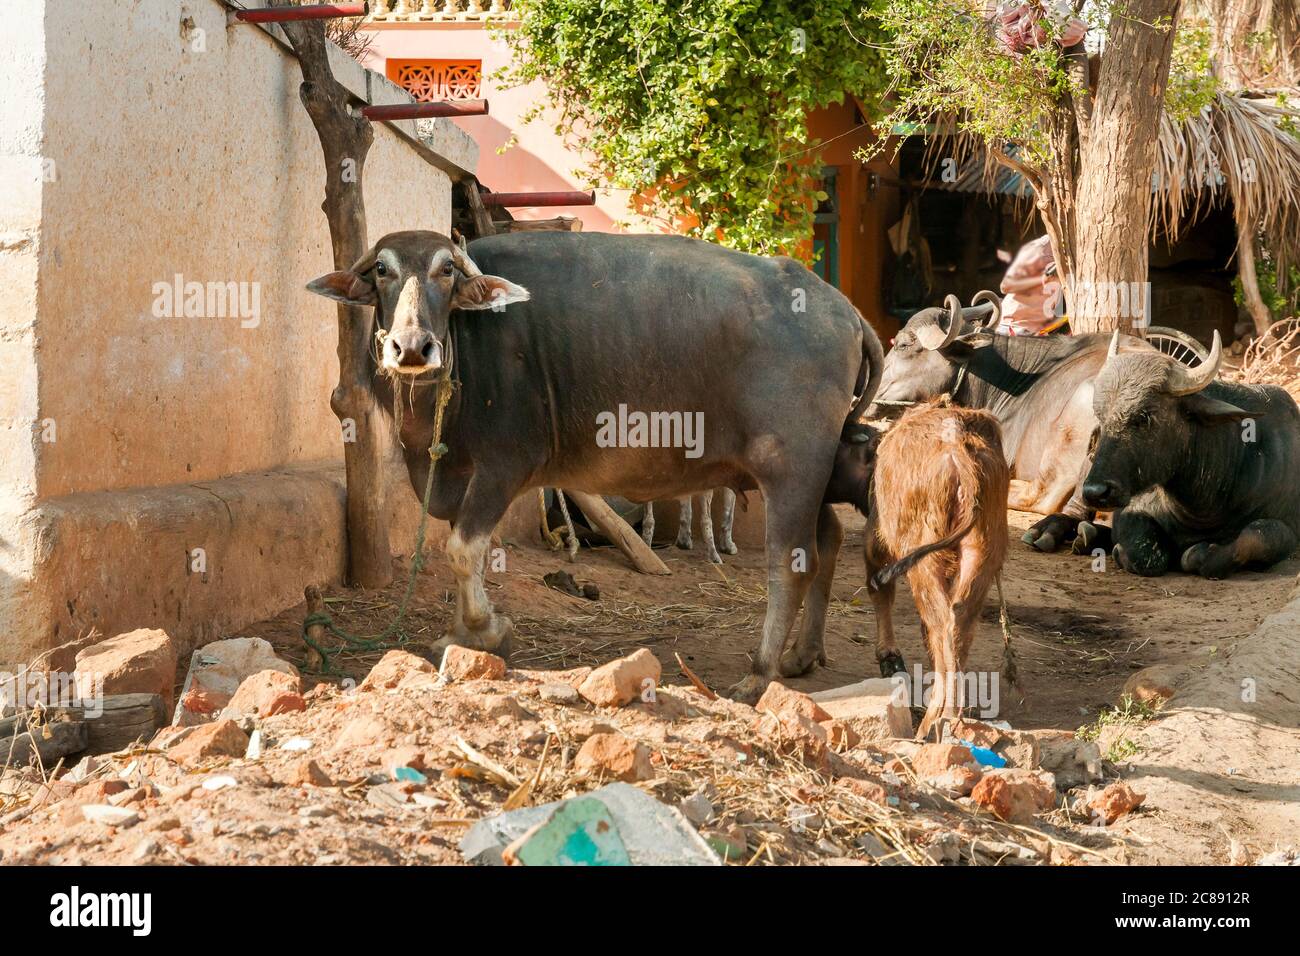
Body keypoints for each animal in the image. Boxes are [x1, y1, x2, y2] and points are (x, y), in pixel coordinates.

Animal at [306, 230, 884, 703]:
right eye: (383, 270)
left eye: (446, 269)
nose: (410, 347)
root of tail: (846, 311)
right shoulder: (454, 474)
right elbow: (463, 552)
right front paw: (459, 636)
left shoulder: (503, 467)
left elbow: (463, 549)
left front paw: (487, 631)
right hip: (819, 474)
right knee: (828, 539)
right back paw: (802, 655)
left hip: (790, 471)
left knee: (792, 562)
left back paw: (759, 673)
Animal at [1078, 330, 1300, 578]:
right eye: (1100, 416)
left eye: (1145, 416)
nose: (1095, 492)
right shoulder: (1129, 512)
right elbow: (1146, 555)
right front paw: (1119, 552)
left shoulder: (1288, 526)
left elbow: (1256, 536)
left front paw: (1200, 554)